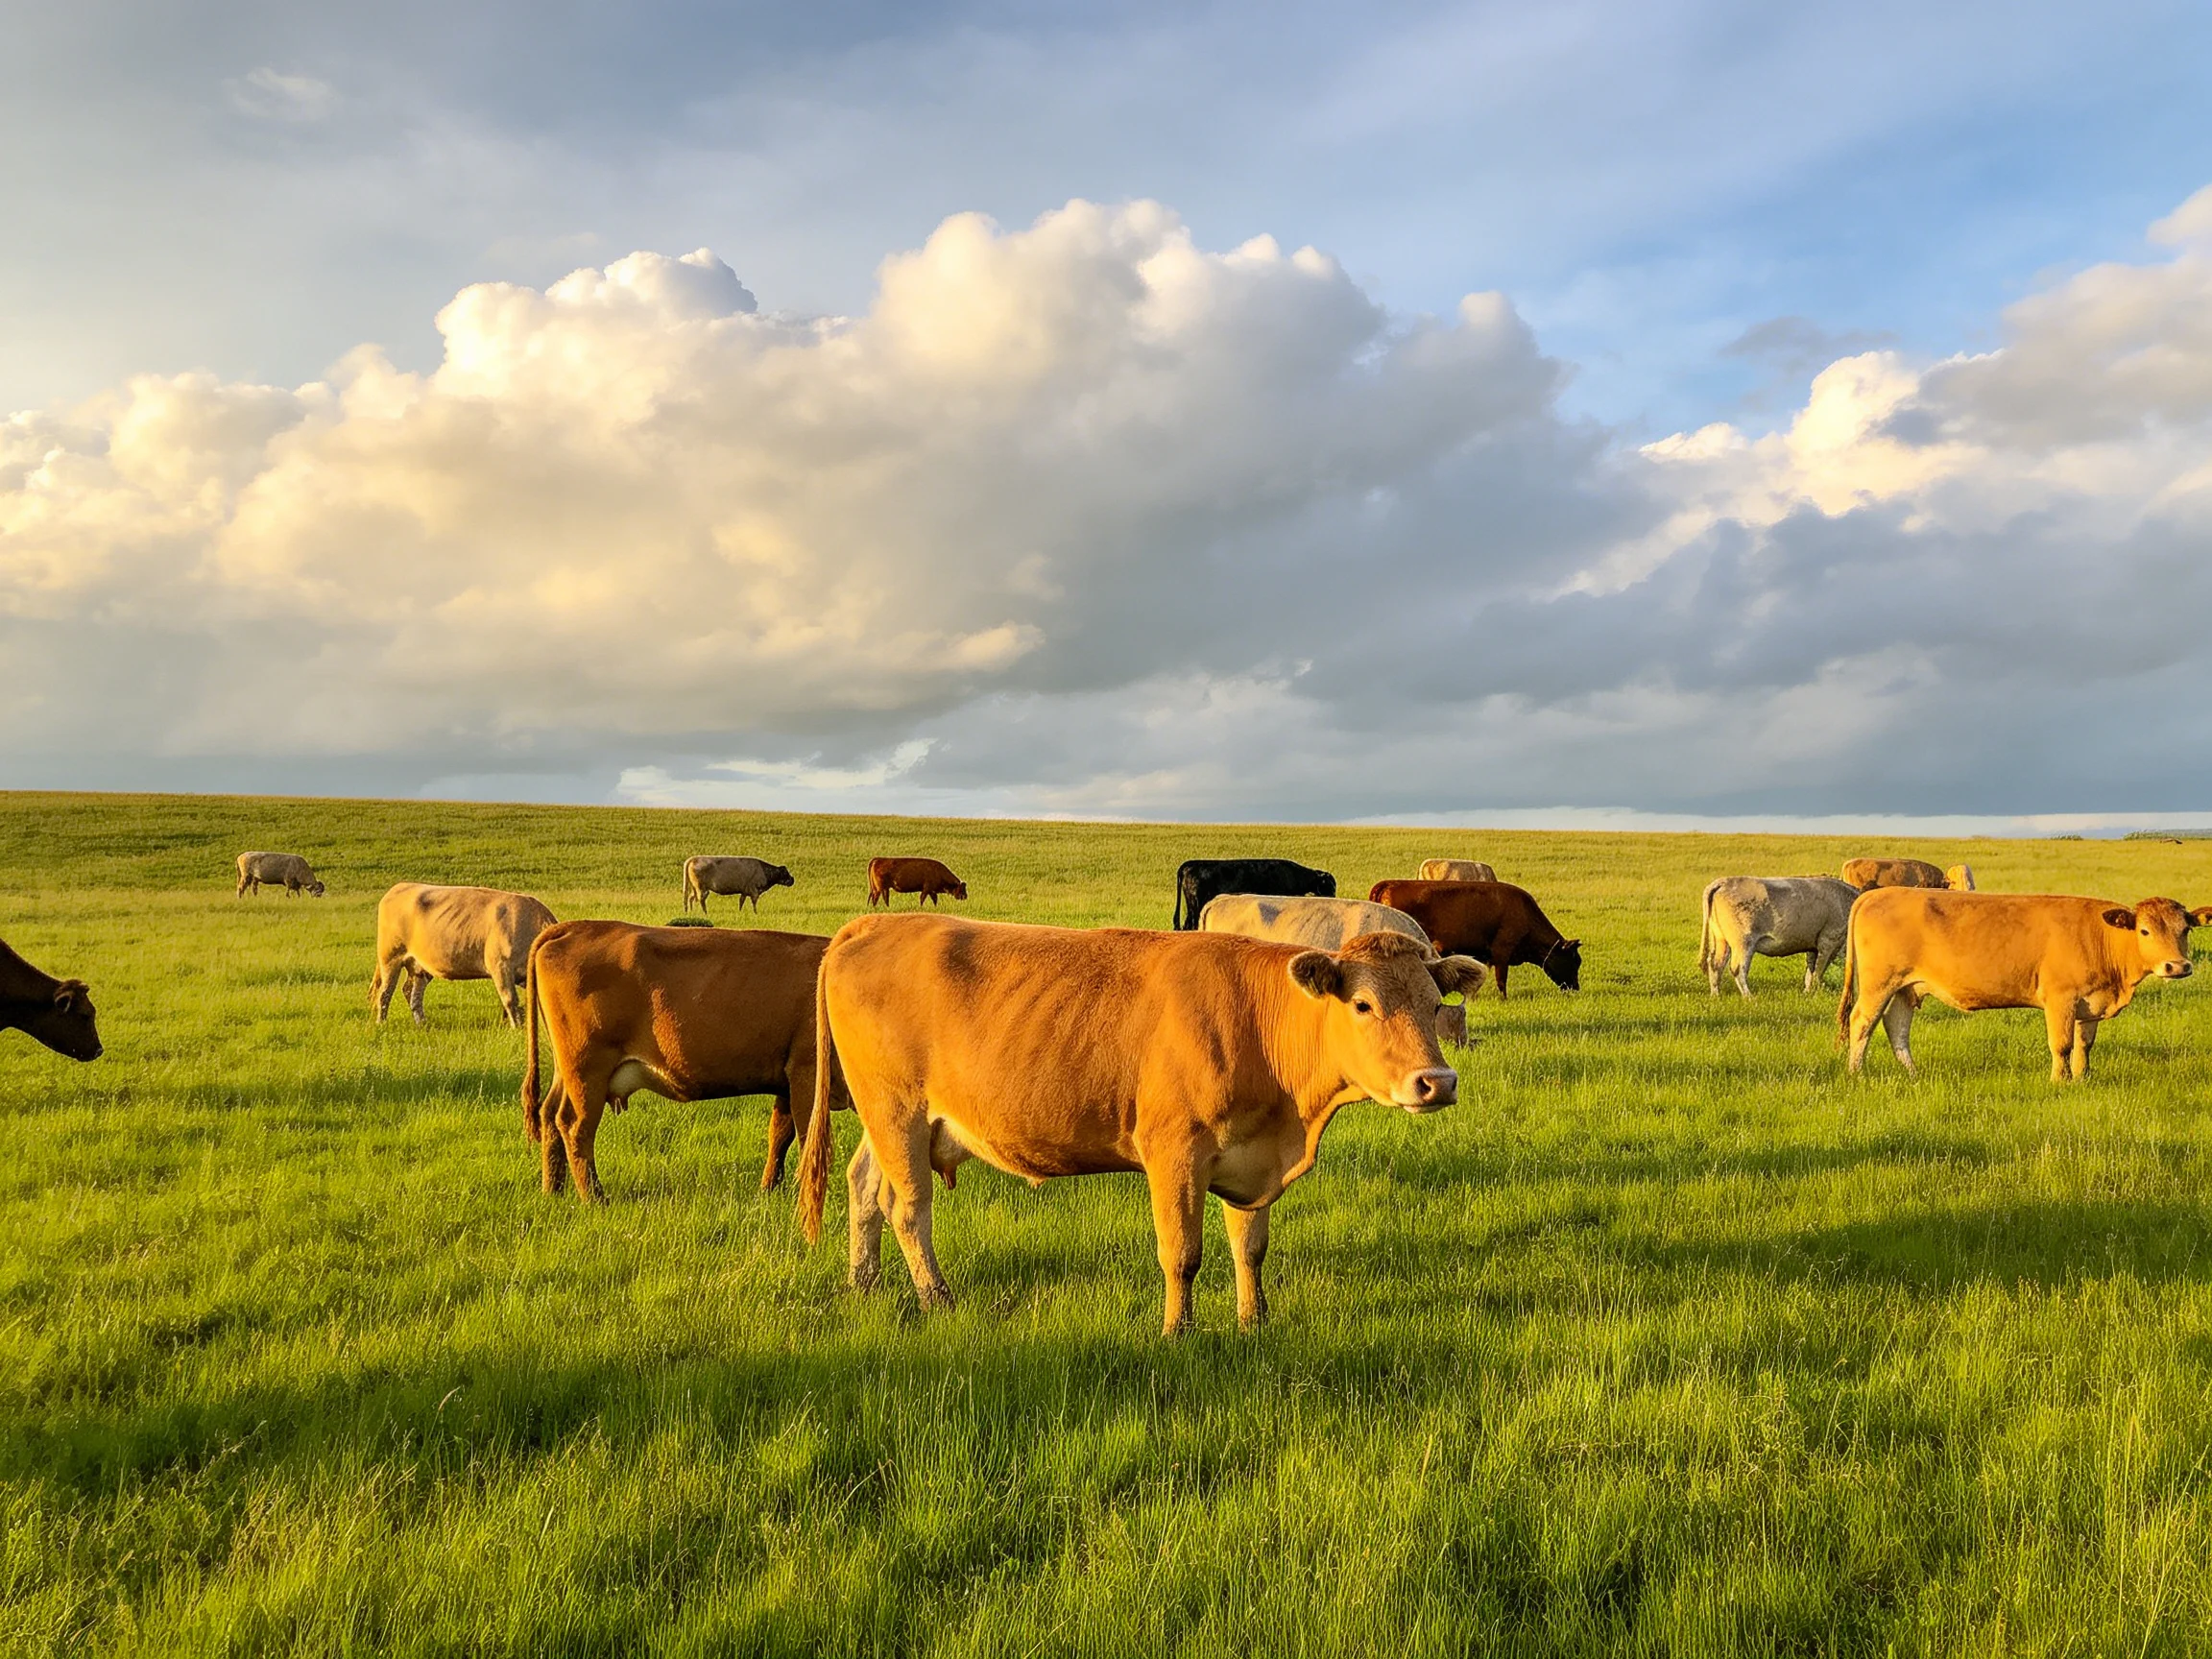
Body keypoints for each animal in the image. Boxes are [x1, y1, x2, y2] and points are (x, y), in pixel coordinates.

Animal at [371, 883, 558, 1027]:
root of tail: (400, 886)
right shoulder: (500, 966)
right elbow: (510, 1000)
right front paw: (516, 1029)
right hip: (390, 958)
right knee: (385, 992)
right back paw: (381, 1023)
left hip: (420, 966)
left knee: (412, 992)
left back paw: (422, 1023)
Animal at [522, 921, 842, 1200]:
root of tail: (577, 926)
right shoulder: (807, 1072)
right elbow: (808, 1138)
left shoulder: (788, 1080)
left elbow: (780, 1135)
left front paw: (769, 1189)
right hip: (588, 1070)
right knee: (575, 1126)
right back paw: (595, 1198)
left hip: (567, 1072)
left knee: (549, 1116)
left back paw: (553, 1190)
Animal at [796, 916, 1484, 1333]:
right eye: (1364, 1004)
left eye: (1434, 1003)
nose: (1437, 1082)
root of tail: (877, 923)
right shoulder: (1174, 1150)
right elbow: (1182, 1253)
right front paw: (1178, 1331)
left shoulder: (1250, 1158)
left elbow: (1250, 1247)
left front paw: (1254, 1323)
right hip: (897, 1110)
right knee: (909, 1207)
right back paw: (938, 1299)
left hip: (887, 1120)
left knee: (865, 1189)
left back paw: (863, 1286)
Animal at [1698, 876, 1861, 997]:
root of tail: (1723, 882)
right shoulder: (1828, 942)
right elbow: (1819, 970)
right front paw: (1816, 992)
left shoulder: (1813, 946)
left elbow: (1811, 971)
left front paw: (1807, 993)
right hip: (1743, 943)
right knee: (1738, 969)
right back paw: (1749, 997)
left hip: (1721, 940)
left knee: (1715, 965)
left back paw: (1716, 995)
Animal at [1838, 889, 2212, 1082]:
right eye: (2144, 931)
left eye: (2185, 929)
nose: (2177, 967)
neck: (2101, 936)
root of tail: (1878, 893)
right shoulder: (2060, 999)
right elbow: (2061, 1044)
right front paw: (2060, 1080)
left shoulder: (2089, 1004)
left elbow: (2084, 1044)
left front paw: (2084, 1077)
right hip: (1879, 983)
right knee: (1862, 1022)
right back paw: (1856, 1073)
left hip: (1906, 987)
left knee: (1896, 1027)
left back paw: (1913, 1073)